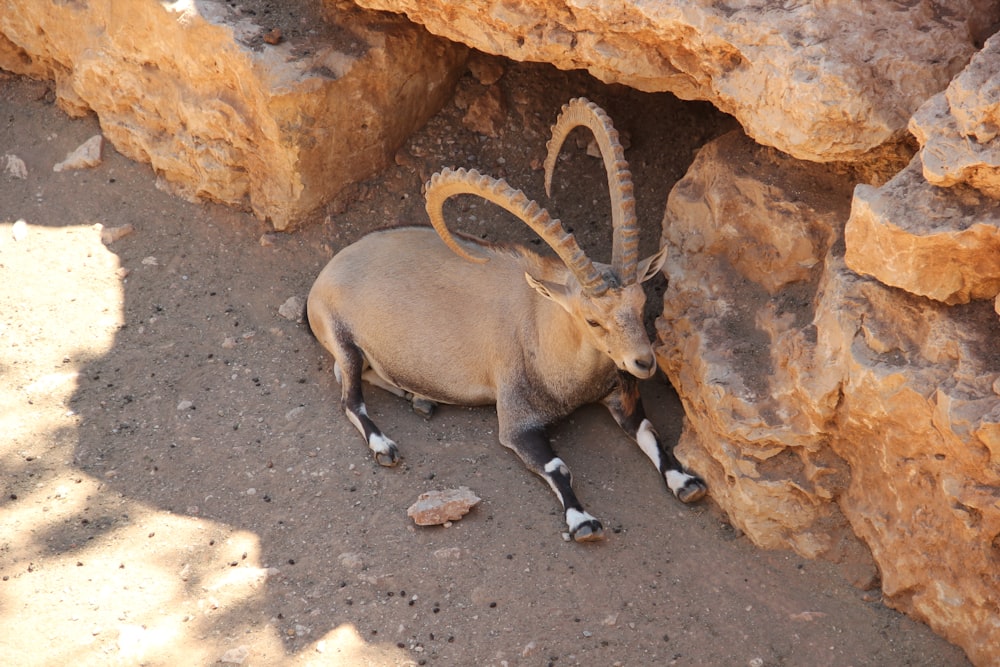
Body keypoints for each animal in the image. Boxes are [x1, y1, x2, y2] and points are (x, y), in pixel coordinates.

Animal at [308, 96, 708, 540]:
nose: (644, 362)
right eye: (592, 321)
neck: (545, 330)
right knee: (349, 393)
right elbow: (556, 465)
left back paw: (419, 399)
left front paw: (686, 482)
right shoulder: (517, 422)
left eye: (640, 304)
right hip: (343, 339)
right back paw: (385, 444)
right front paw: (583, 521)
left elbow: (651, 433)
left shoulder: (619, 395)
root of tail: (328, 272)